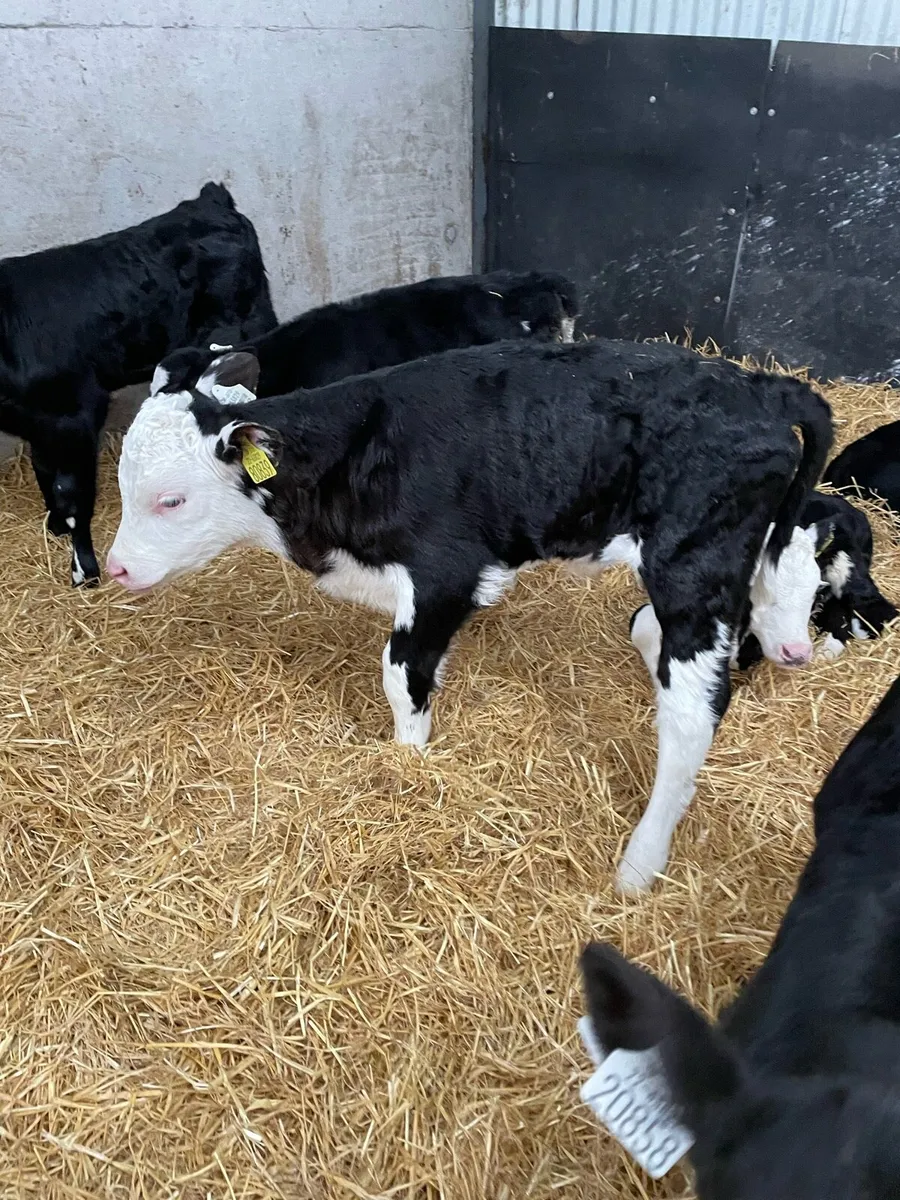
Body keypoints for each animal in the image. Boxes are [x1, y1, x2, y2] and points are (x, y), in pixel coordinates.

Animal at [0, 182, 275, 587]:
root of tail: (209, 200)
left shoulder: (74, 415)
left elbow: (72, 494)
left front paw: (84, 570)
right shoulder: (39, 425)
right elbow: (45, 474)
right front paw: (55, 527)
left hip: (247, 322)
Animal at [106, 337, 832, 891]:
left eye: (170, 499)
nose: (115, 567)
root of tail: (763, 385)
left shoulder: (446, 570)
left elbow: (401, 673)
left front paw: (408, 764)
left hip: (693, 567)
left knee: (692, 715)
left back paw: (638, 865)